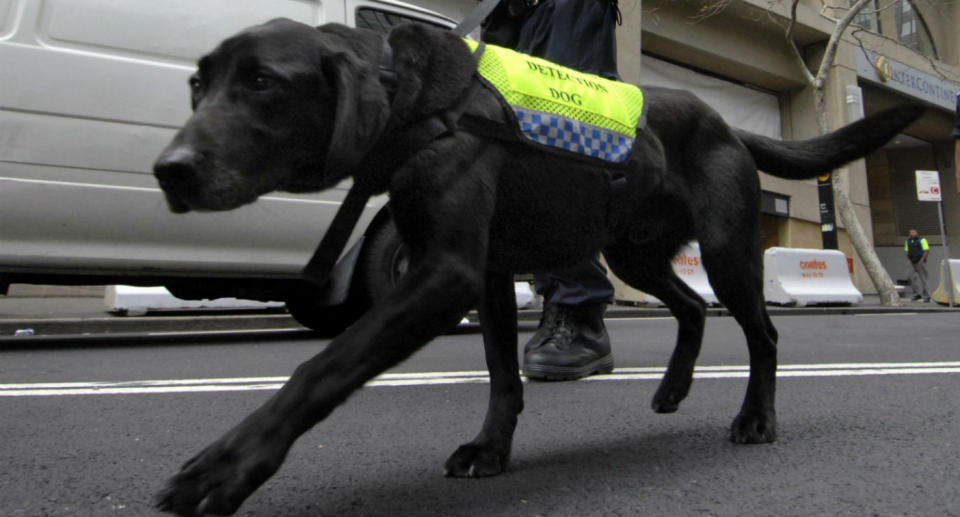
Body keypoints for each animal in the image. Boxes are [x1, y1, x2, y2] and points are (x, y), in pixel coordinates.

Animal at [152, 18, 924, 512]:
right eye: (197, 86)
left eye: (262, 81)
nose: (169, 170)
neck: (420, 105)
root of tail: (730, 125)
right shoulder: (487, 276)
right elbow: (501, 376)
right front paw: (491, 451)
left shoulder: (445, 275)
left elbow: (321, 368)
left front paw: (226, 466)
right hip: (631, 250)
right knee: (689, 305)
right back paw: (673, 388)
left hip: (728, 251)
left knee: (760, 332)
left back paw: (755, 418)